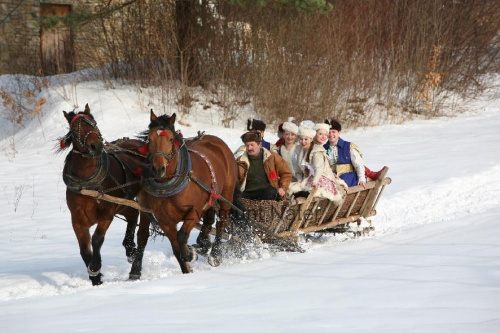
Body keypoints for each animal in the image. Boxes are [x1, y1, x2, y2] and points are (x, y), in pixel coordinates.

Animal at [60, 103, 150, 282]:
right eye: (75, 129)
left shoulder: (107, 213)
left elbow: (97, 239)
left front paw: (95, 267)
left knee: (143, 232)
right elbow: (84, 249)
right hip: (123, 203)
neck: (87, 185)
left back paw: (135, 268)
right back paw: (129, 248)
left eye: (94, 123)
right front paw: (95, 278)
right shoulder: (77, 220)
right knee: (133, 215)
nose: (96, 146)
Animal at [138, 110, 241, 272]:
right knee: (209, 219)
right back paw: (203, 243)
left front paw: (190, 254)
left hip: (226, 193)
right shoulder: (163, 220)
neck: (169, 184)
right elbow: (176, 248)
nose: (158, 169)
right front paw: (187, 268)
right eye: (150, 139)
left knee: (221, 221)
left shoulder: (194, 211)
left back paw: (215, 254)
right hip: (211, 195)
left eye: (170, 139)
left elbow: (181, 236)